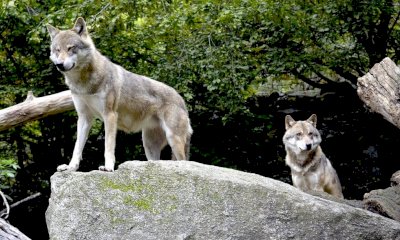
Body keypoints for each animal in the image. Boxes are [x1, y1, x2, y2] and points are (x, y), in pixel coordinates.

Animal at [46, 17, 193, 172]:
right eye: (57, 50)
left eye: (70, 48)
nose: (59, 64)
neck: (84, 83)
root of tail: (181, 100)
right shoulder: (84, 117)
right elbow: (77, 148)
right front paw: (71, 167)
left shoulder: (110, 115)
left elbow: (108, 146)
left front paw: (108, 167)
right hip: (148, 146)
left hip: (173, 139)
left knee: (184, 160)